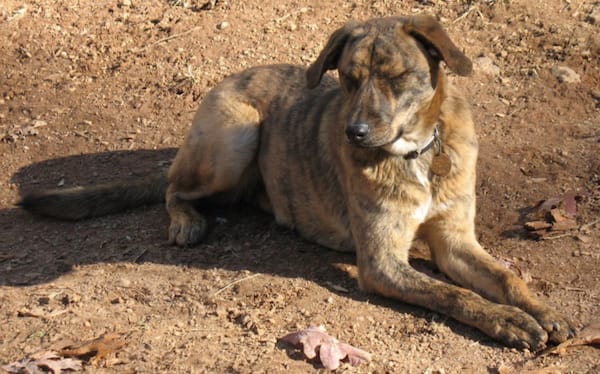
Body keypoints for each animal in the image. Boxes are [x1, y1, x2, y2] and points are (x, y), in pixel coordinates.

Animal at [21, 13, 576, 348]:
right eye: (348, 78)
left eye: (395, 78)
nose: (353, 134)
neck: (416, 153)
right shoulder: (382, 263)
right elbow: (455, 296)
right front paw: (509, 321)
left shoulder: (455, 242)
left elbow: (505, 277)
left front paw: (541, 310)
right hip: (237, 135)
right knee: (172, 187)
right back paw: (186, 221)